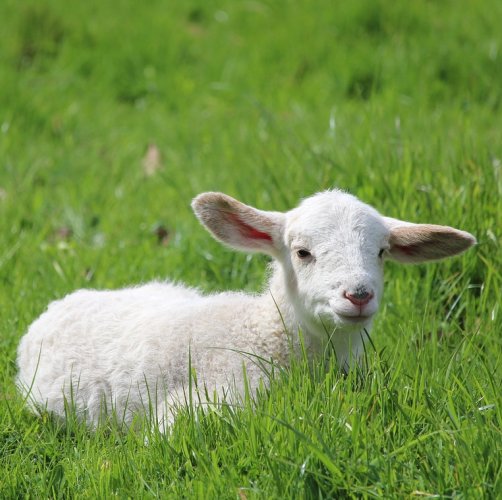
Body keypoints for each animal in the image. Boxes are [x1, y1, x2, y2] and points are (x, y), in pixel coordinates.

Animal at [15, 189, 476, 428]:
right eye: (302, 252)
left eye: (381, 252)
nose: (358, 295)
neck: (265, 335)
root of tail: (60, 303)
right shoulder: (198, 404)